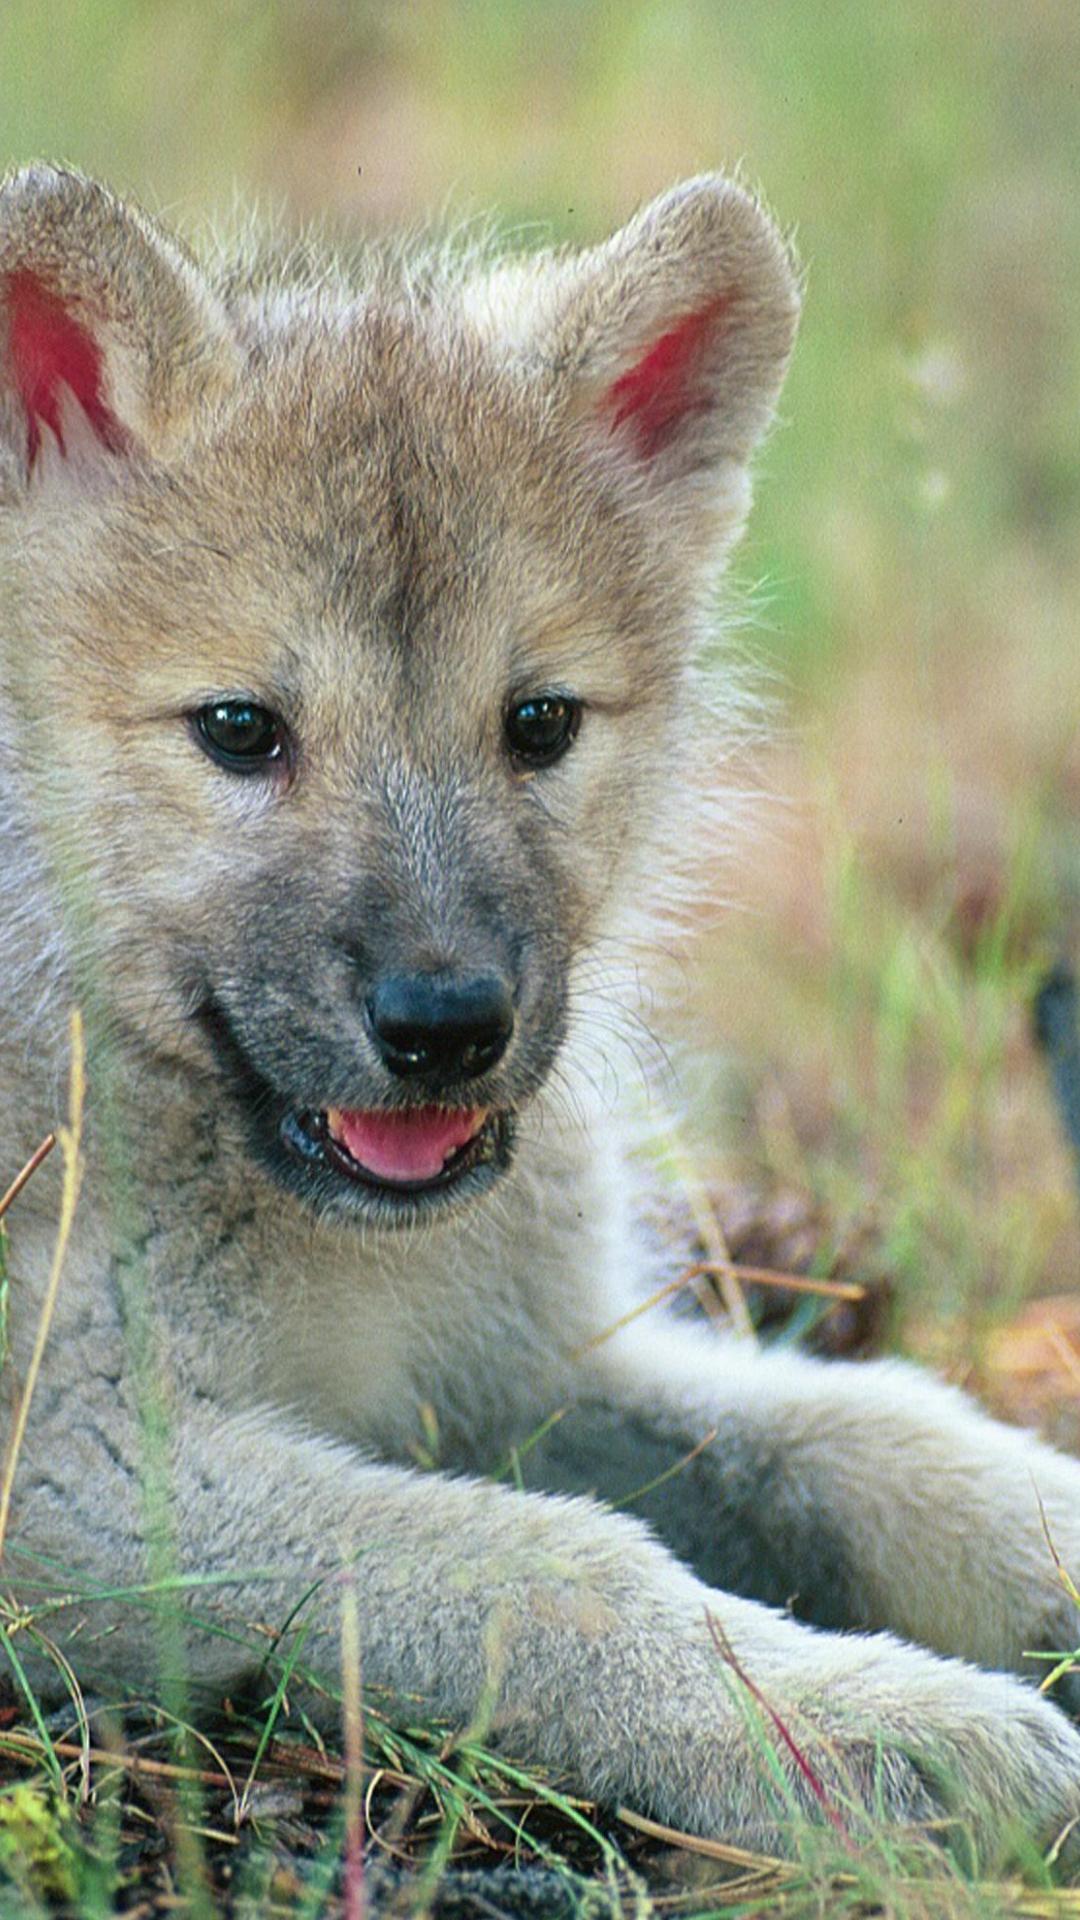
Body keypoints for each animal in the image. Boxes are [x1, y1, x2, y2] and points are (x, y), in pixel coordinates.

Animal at [1, 163, 1079, 1861]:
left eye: (540, 724)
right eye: (240, 730)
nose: (446, 1024)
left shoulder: (535, 1361)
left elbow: (871, 1435)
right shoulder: (79, 1469)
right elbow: (558, 1568)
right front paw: (867, 1728)